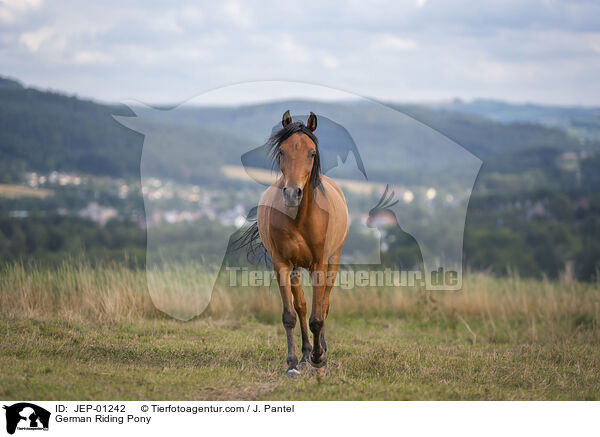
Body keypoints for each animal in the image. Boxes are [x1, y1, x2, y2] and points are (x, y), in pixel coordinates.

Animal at [241, 110, 350, 376]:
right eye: (282, 152)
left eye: (312, 153)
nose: (292, 193)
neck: (300, 218)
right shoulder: (281, 264)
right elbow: (290, 315)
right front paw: (292, 363)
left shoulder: (320, 264)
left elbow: (317, 317)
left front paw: (319, 358)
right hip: (296, 268)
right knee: (301, 305)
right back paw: (304, 355)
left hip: (333, 261)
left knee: (324, 304)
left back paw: (320, 352)